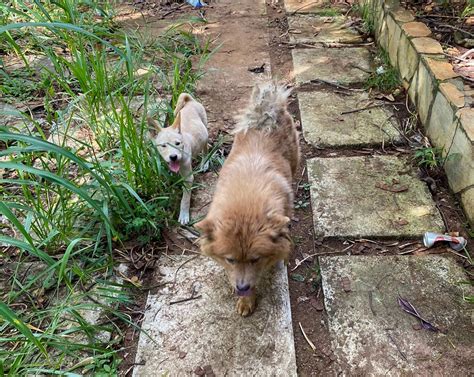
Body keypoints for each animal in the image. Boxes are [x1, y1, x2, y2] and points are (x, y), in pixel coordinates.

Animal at [148, 93, 207, 223]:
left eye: (178, 143)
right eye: (163, 146)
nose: (173, 157)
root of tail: (190, 101)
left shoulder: (188, 178)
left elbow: (185, 198)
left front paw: (184, 214)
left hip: (205, 130)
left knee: (206, 148)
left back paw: (205, 163)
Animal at [195, 83, 300, 316]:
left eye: (255, 259)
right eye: (230, 259)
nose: (241, 287)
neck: (247, 196)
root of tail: (267, 108)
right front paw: (245, 300)